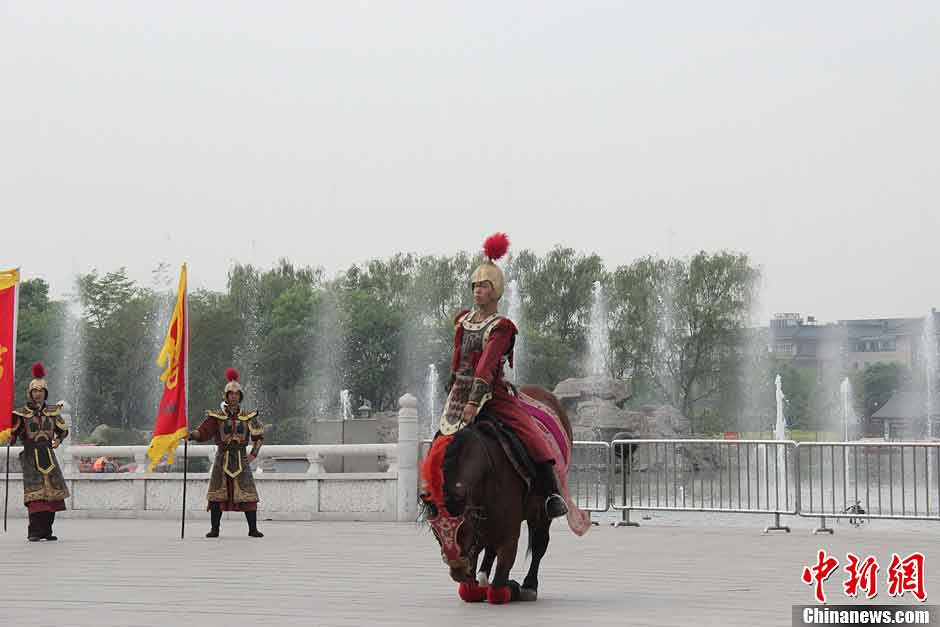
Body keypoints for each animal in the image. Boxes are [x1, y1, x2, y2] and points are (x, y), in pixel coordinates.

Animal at [420, 386, 572, 604]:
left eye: (462, 528)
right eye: (435, 531)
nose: (457, 569)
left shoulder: (507, 530)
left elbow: (499, 587)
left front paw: (510, 587)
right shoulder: (480, 525)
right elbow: (470, 588)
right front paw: (476, 583)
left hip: (542, 511)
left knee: (539, 543)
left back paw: (529, 586)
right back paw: (484, 577)